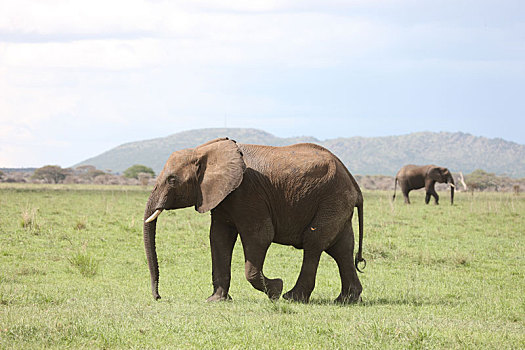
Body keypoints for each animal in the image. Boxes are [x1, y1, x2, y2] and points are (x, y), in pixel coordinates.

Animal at [142, 139, 364, 304]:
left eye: (172, 180)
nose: (158, 296)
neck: (204, 151)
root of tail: (354, 184)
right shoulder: (223, 196)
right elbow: (219, 238)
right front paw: (215, 300)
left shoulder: (248, 192)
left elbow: (259, 236)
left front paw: (276, 289)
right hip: (337, 204)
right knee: (341, 248)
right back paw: (346, 300)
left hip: (332, 199)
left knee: (314, 242)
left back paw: (292, 297)